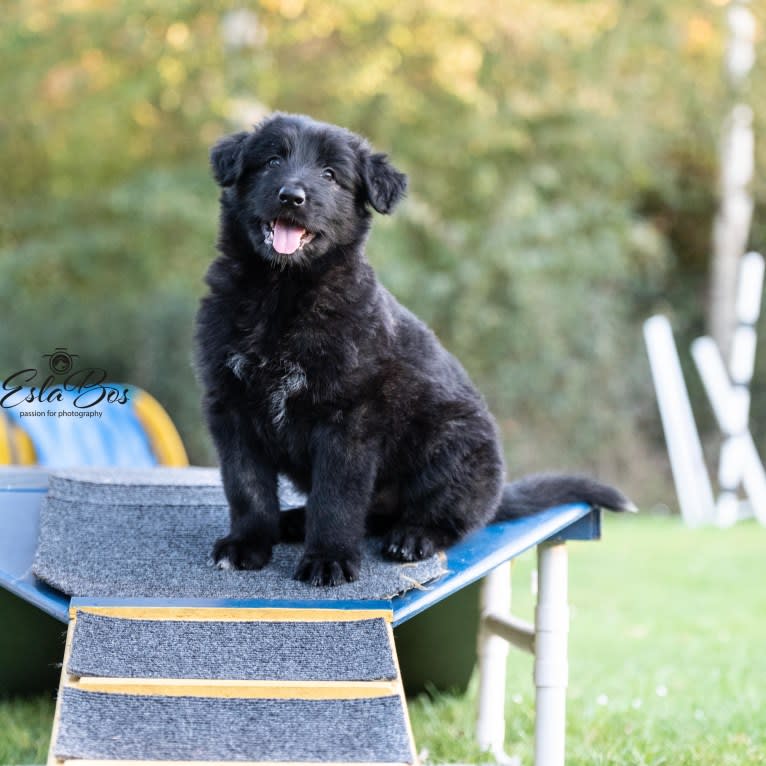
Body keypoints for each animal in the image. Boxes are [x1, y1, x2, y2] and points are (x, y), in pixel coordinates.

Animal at [194, 114, 636, 588]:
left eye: (330, 175)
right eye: (273, 160)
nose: (291, 196)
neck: (281, 294)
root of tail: (497, 490)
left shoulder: (347, 419)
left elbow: (336, 499)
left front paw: (328, 558)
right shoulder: (232, 407)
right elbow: (247, 488)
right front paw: (246, 544)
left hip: (451, 448)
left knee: (445, 518)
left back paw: (412, 537)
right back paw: (293, 521)